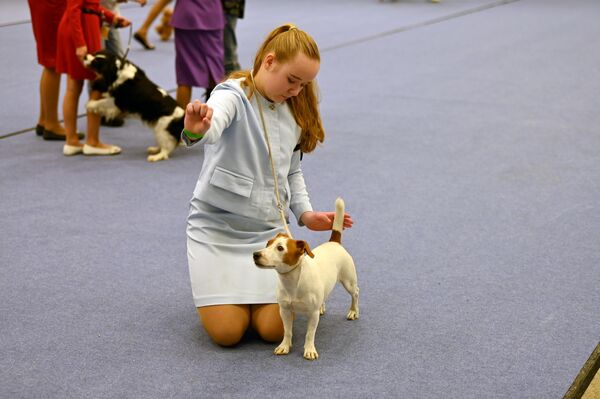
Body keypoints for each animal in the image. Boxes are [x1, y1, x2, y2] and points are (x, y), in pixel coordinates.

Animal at [252, 198, 358, 360]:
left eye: (280, 248)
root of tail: (334, 242)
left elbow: (310, 334)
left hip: (348, 280)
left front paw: (309, 350)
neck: (293, 281)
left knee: (355, 293)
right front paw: (284, 346)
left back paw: (354, 311)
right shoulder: (284, 310)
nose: (255, 254)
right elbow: (287, 331)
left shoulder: (312, 314)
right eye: (267, 244)